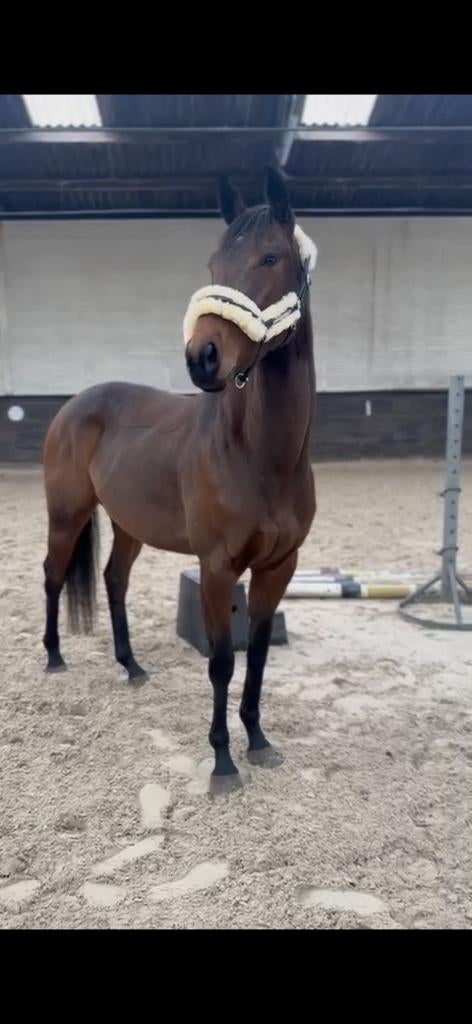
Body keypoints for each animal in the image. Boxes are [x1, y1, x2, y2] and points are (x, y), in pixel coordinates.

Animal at [42, 165, 317, 790]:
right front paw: (222, 763)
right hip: (66, 515)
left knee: (113, 580)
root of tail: (75, 405)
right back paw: (54, 658)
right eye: (213, 265)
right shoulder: (216, 568)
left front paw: (259, 741)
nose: (202, 357)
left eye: (270, 257)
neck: (264, 457)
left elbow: (257, 655)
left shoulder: (278, 567)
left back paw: (132, 666)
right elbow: (220, 661)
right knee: (52, 574)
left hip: (128, 525)